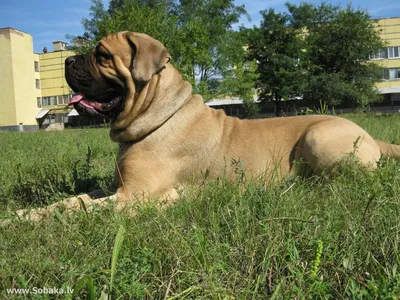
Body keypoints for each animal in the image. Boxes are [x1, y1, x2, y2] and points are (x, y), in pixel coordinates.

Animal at [12, 31, 400, 223]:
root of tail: (373, 137)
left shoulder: (133, 196)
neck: (158, 117)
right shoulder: (117, 187)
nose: (67, 59)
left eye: (102, 55)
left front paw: (23, 220)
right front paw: (26, 212)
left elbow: (79, 208)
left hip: (320, 135)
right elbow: (74, 200)